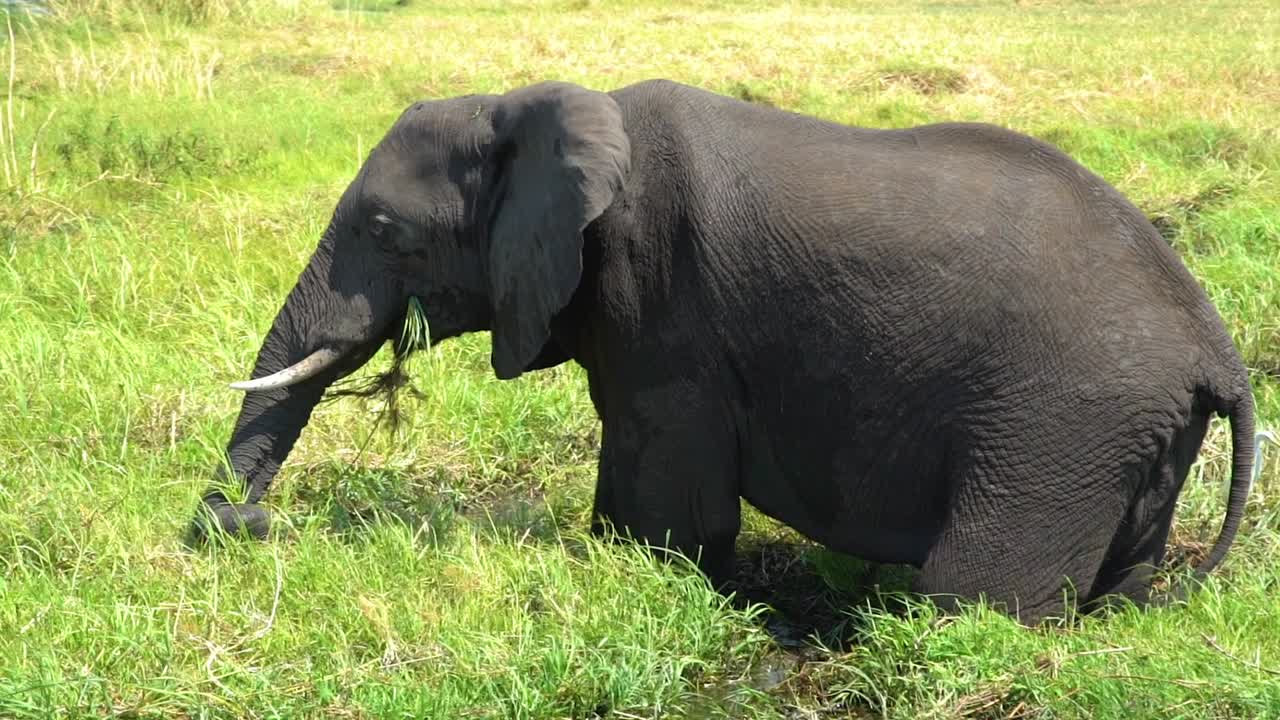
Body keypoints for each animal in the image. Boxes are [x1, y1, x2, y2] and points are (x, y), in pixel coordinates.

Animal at [189, 78, 1255, 625]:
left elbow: (676, 493)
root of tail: (1217, 348)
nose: (237, 527)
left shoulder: (667, 293)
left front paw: (666, 570)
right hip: (1129, 435)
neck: (537, 105)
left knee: (973, 593)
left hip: (1061, 422)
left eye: (386, 229)